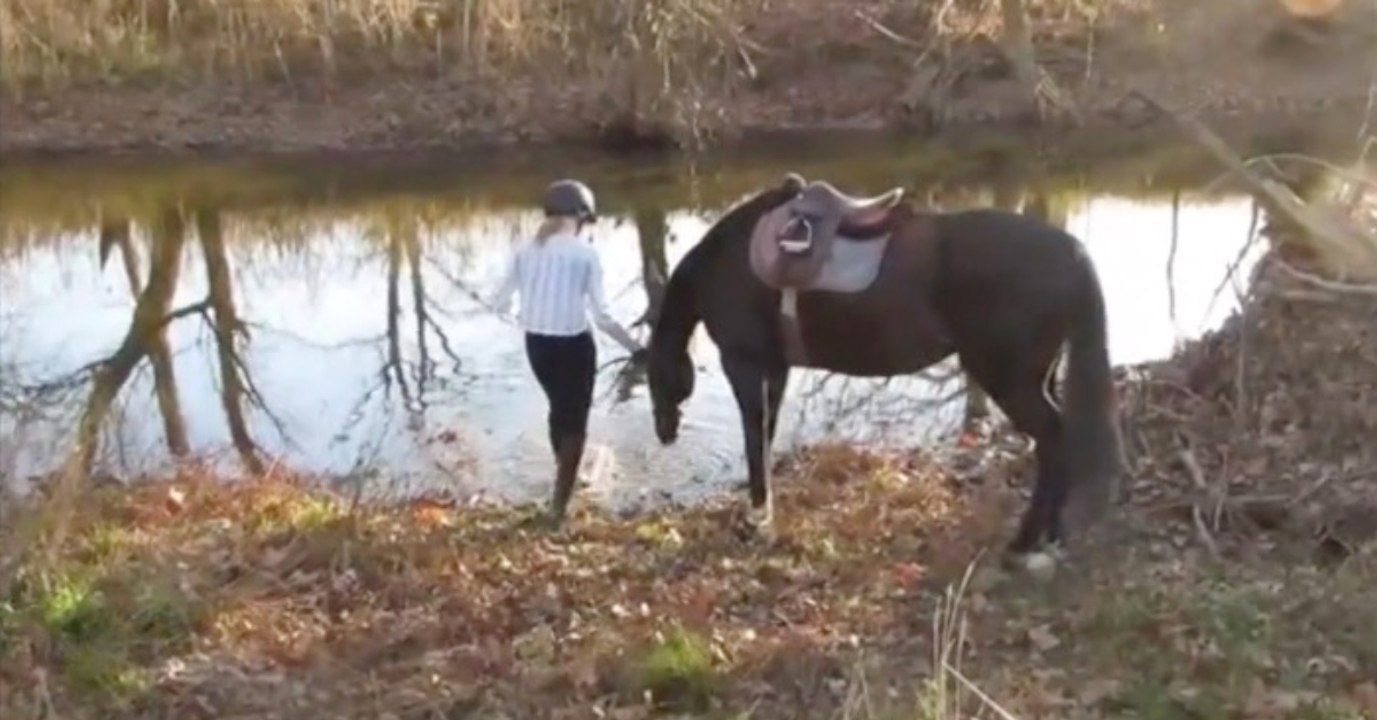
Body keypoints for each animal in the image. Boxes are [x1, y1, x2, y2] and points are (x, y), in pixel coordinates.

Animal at [645, 173, 1124, 559]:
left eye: (651, 376)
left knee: (1053, 438)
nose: (664, 433)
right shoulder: (774, 368)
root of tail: (1071, 251)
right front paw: (764, 515)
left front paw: (755, 519)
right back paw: (1048, 535)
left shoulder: (743, 364)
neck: (725, 261)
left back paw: (1026, 541)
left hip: (1008, 379)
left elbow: (752, 437)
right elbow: (765, 435)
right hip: (1038, 375)